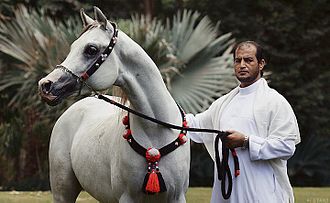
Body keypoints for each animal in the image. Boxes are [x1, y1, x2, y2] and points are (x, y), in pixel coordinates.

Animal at [37, 6, 189, 203]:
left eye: (91, 49)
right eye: (72, 47)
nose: (45, 85)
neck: (156, 131)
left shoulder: (177, 197)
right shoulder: (127, 197)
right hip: (62, 193)